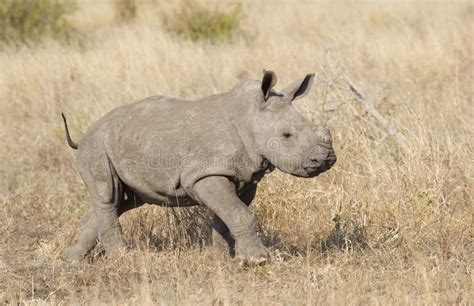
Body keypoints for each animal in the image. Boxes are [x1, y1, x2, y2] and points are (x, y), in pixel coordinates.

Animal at [63, 70, 336, 266]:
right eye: (287, 135)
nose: (326, 159)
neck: (249, 118)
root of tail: (84, 134)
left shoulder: (244, 178)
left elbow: (228, 216)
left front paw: (227, 260)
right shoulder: (204, 174)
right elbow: (239, 214)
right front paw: (258, 260)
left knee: (123, 200)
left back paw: (73, 259)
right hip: (97, 144)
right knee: (108, 195)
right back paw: (123, 259)